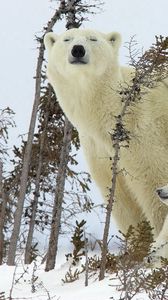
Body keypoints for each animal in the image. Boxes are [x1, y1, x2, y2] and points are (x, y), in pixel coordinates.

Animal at [44, 27, 168, 258]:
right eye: (67, 39)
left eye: (93, 39)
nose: (78, 50)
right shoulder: (99, 148)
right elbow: (121, 199)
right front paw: (135, 249)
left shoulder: (144, 132)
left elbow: (153, 181)